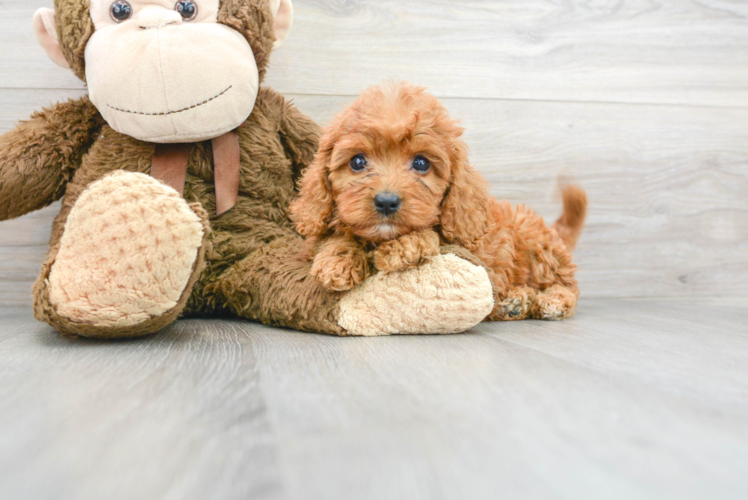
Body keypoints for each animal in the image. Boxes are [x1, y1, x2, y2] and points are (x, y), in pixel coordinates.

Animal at [290, 82, 588, 320]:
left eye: (421, 163)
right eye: (357, 161)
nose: (386, 201)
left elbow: (431, 236)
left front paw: (403, 247)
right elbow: (330, 238)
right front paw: (337, 259)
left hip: (538, 248)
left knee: (568, 286)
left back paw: (550, 301)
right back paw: (515, 302)